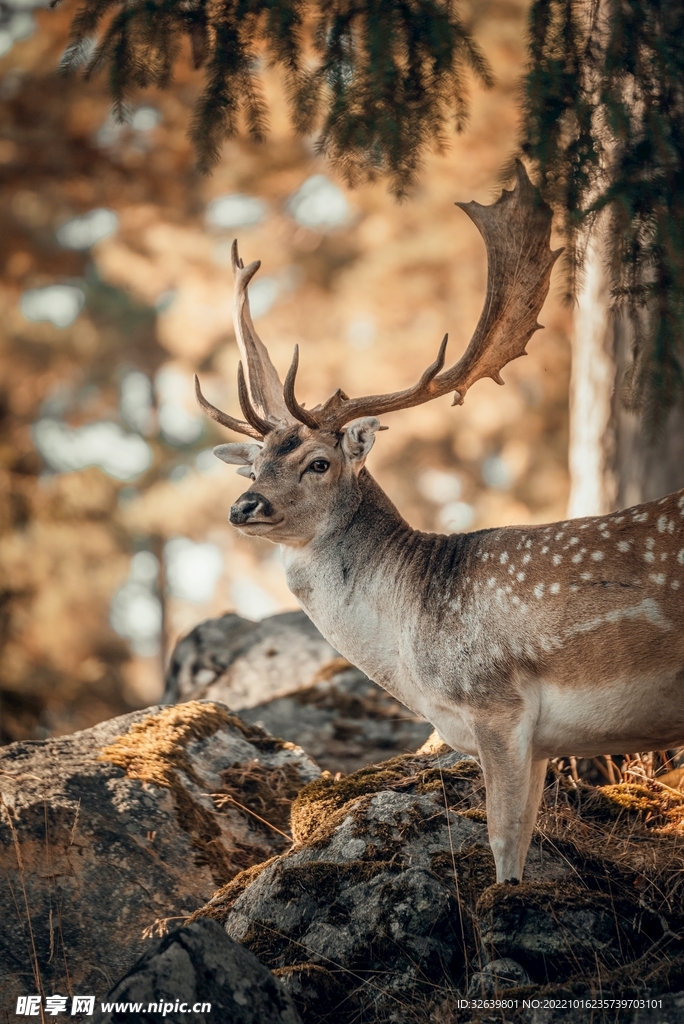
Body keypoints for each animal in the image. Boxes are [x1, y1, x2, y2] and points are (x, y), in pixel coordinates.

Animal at [194, 162, 684, 883]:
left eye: (318, 462)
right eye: (253, 463)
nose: (244, 506)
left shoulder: (496, 703)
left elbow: (503, 842)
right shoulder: (543, 741)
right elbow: (525, 836)